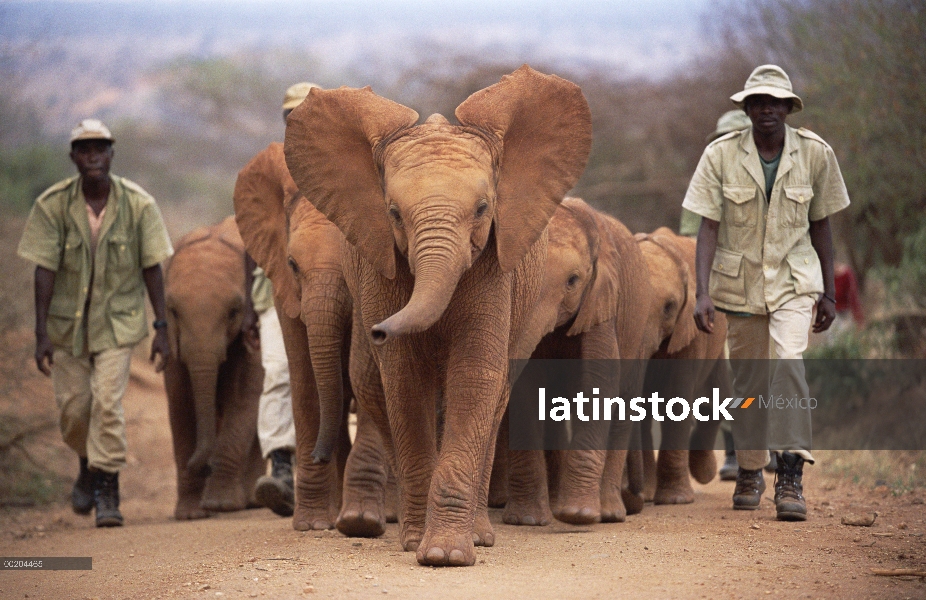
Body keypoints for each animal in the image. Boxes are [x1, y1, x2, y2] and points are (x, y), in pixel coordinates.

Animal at [162, 217, 264, 520]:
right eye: (173, 311)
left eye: (234, 311)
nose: (202, 464)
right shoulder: (172, 342)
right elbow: (181, 403)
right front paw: (190, 514)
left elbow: (243, 397)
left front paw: (220, 506)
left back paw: (252, 500)